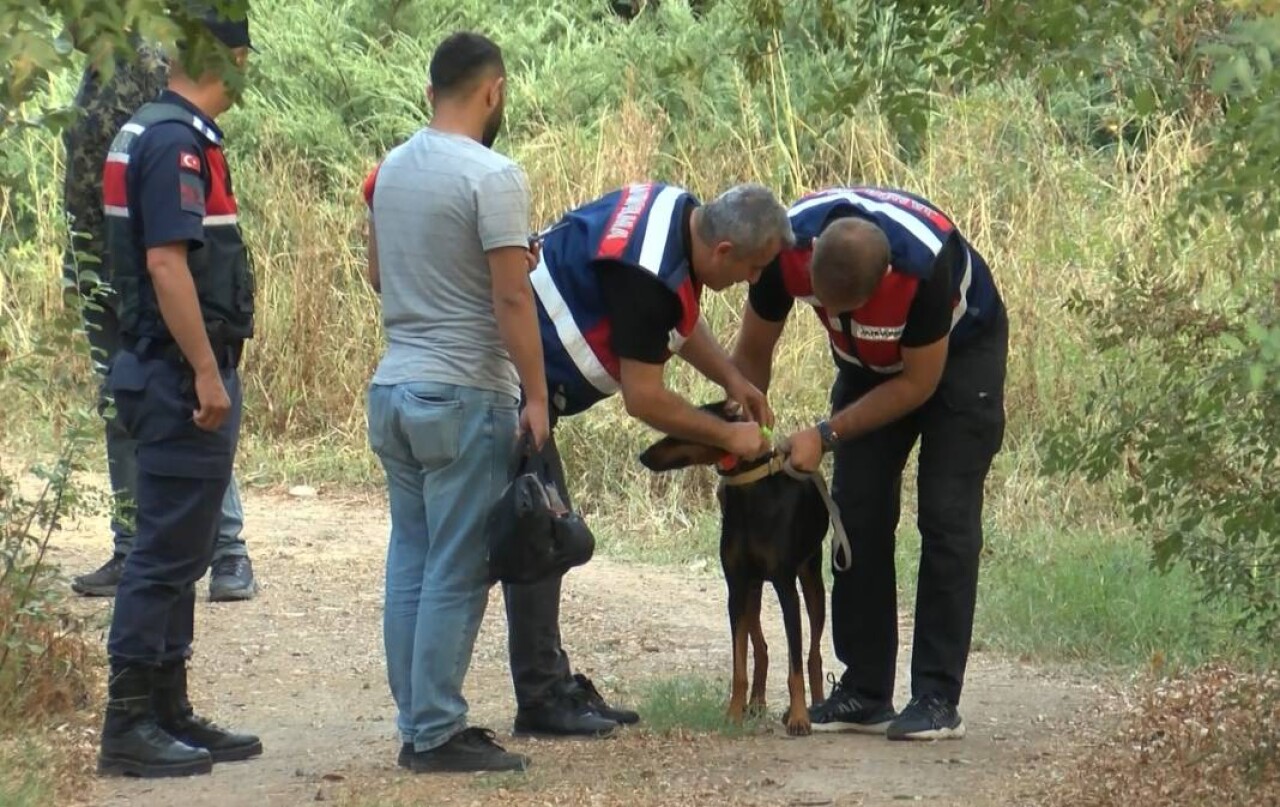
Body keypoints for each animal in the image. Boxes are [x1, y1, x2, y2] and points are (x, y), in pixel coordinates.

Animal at [640, 402, 829, 737]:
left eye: (681, 430)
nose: (643, 455)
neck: (751, 492)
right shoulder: (736, 588)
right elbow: (739, 664)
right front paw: (733, 713)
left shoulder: (786, 588)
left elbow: (795, 664)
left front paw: (798, 716)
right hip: (752, 591)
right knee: (762, 648)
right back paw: (756, 703)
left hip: (811, 581)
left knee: (813, 654)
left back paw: (815, 706)